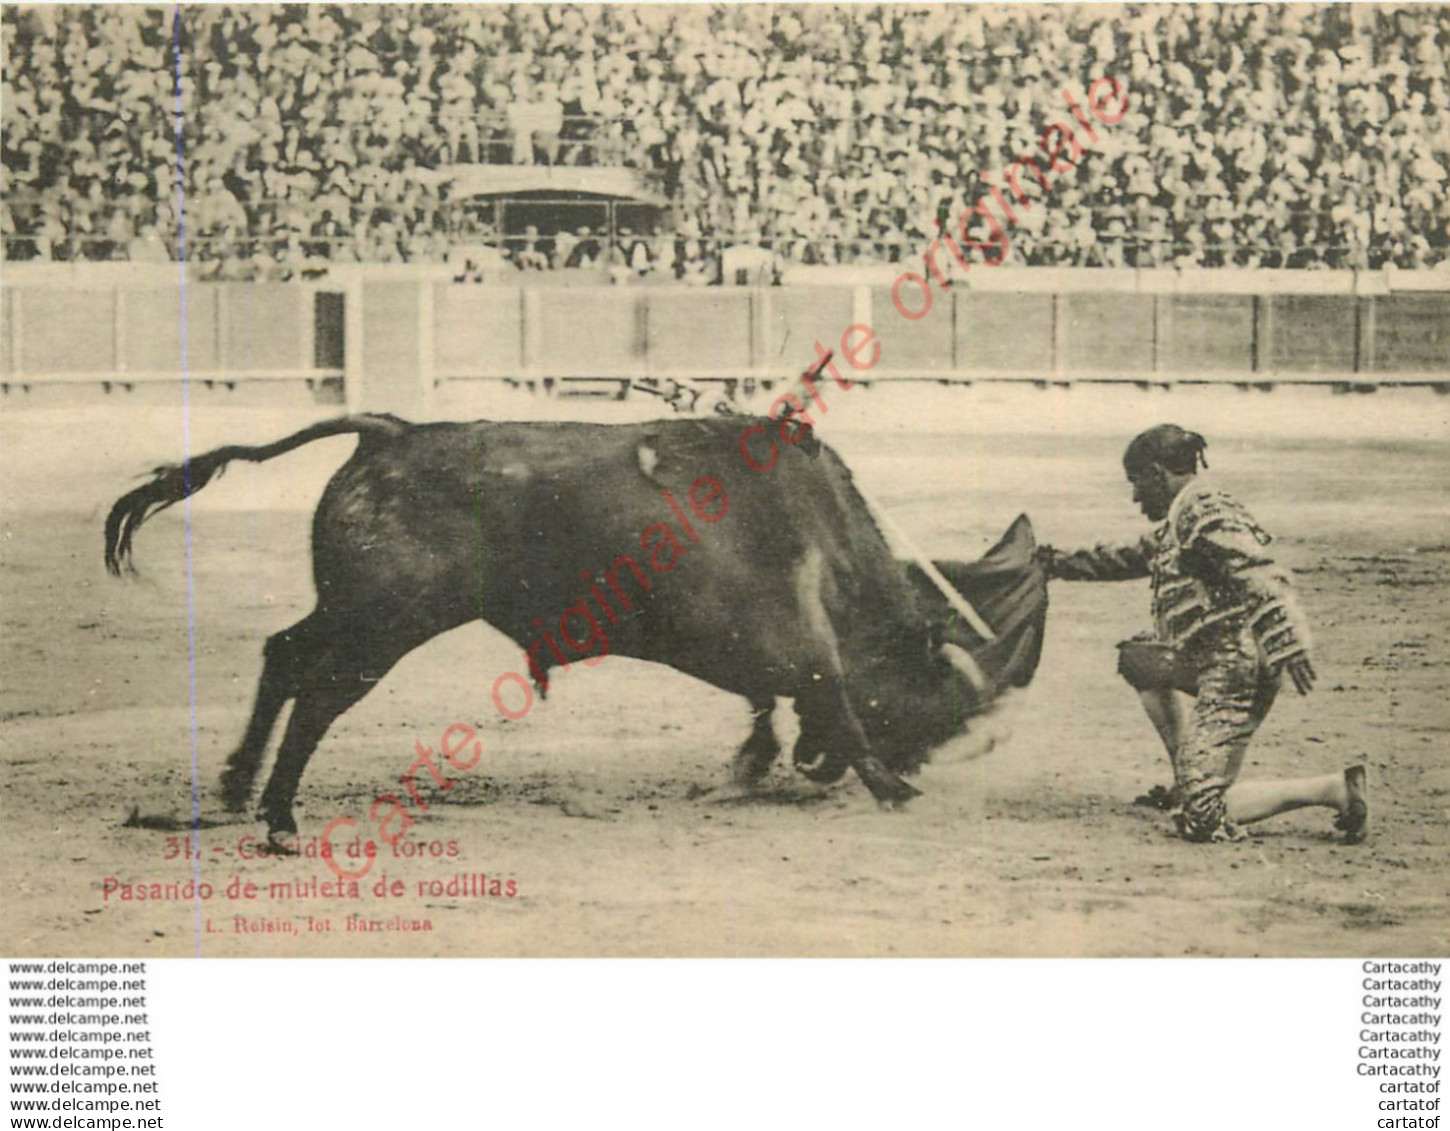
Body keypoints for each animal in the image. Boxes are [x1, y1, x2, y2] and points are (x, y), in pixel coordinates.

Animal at [107, 411, 1049, 841]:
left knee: (285, 653)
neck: (817, 530)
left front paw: (752, 765)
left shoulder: (761, 651)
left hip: (353, 610)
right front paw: (889, 787)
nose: (830, 775)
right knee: (319, 691)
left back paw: (239, 786)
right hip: (384, 621)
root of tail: (389, 432)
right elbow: (831, 694)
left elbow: (770, 702)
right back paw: (278, 815)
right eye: (928, 706)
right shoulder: (794, 640)